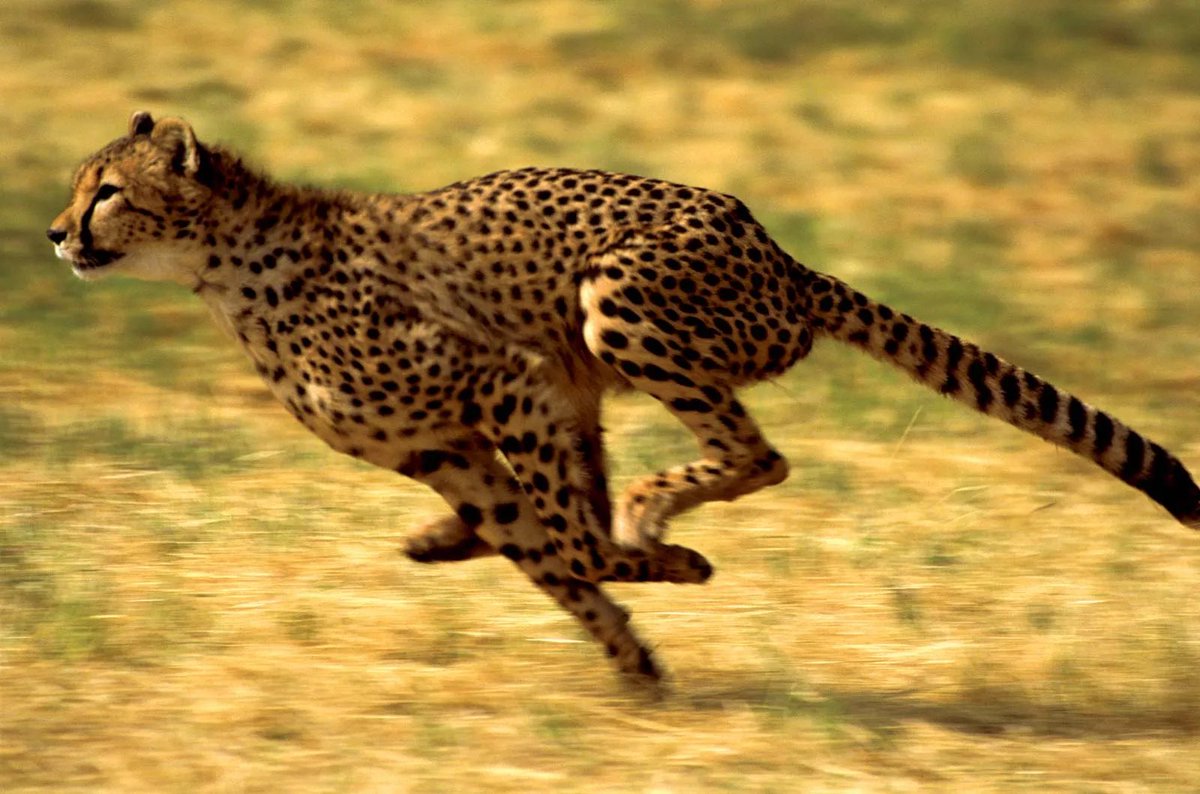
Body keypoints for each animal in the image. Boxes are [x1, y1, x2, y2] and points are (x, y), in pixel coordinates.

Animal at [47, 112, 1200, 683]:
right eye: (77, 184)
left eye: (108, 191)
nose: (56, 233)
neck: (227, 266)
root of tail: (777, 253)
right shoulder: (449, 446)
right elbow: (550, 553)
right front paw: (635, 660)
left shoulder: (505, 379)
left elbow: (572, 543)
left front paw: (665, 568)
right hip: (594, 363)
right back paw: (476, 540)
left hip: (617, 302)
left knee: (756, 456)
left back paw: (652, 514)